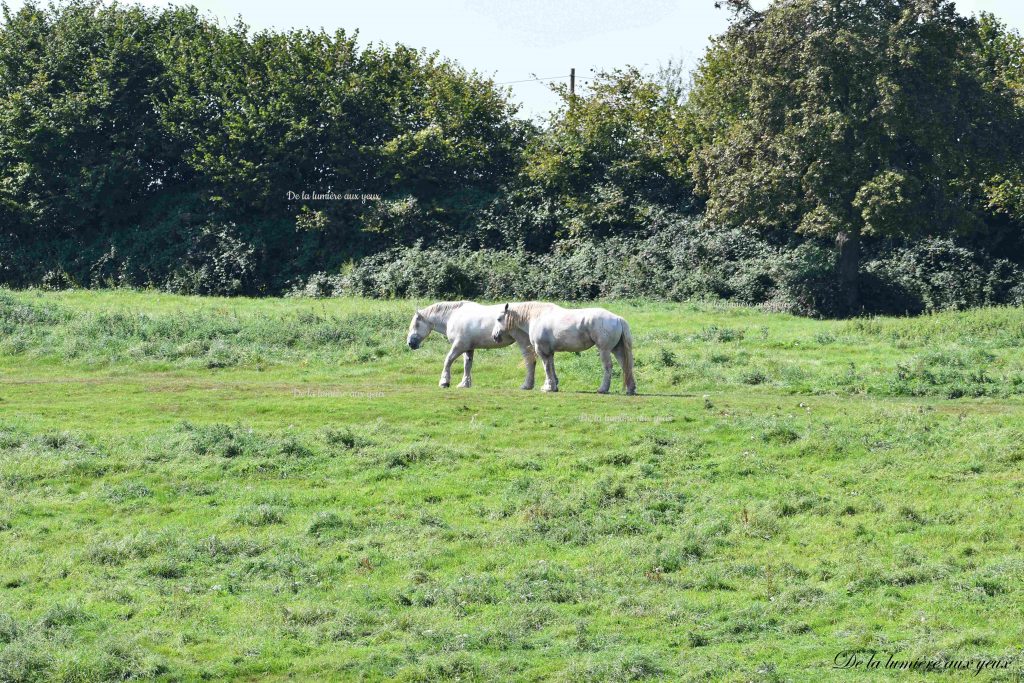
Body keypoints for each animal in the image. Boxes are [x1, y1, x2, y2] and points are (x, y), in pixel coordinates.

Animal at [405, 301, 540, 389]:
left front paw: (444, 382)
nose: (410, 343)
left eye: (416, 324)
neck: (453, 316)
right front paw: (464, 384)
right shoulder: (468, 348)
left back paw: (527, 385)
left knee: (529, 360)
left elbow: (448, 361)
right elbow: (467, 365)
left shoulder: (459, 346)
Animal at [491, 303, 634, 395]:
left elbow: (546, 368)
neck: (537, 316)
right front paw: (553, 386)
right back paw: (630, 389)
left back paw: (603, 389)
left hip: (604, 350)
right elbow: (551, 367)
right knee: (626, 366)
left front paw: (548, 388)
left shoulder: (542, 351)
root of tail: (618, 318)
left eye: (498, 319)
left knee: (608, 367)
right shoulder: (550, 352)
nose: (494, 336)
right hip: (617, 349)